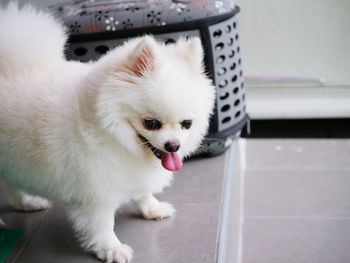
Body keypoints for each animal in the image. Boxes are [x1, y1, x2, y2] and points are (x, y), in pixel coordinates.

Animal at [0, 4, 215, 263]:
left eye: (186, 124)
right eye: (151, 123)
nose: (173, 146)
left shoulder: (129, 174)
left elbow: (143, 193)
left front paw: (152, 209)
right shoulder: (95, 190)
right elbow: (103, 224)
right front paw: (111, 248)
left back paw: (26, 203)